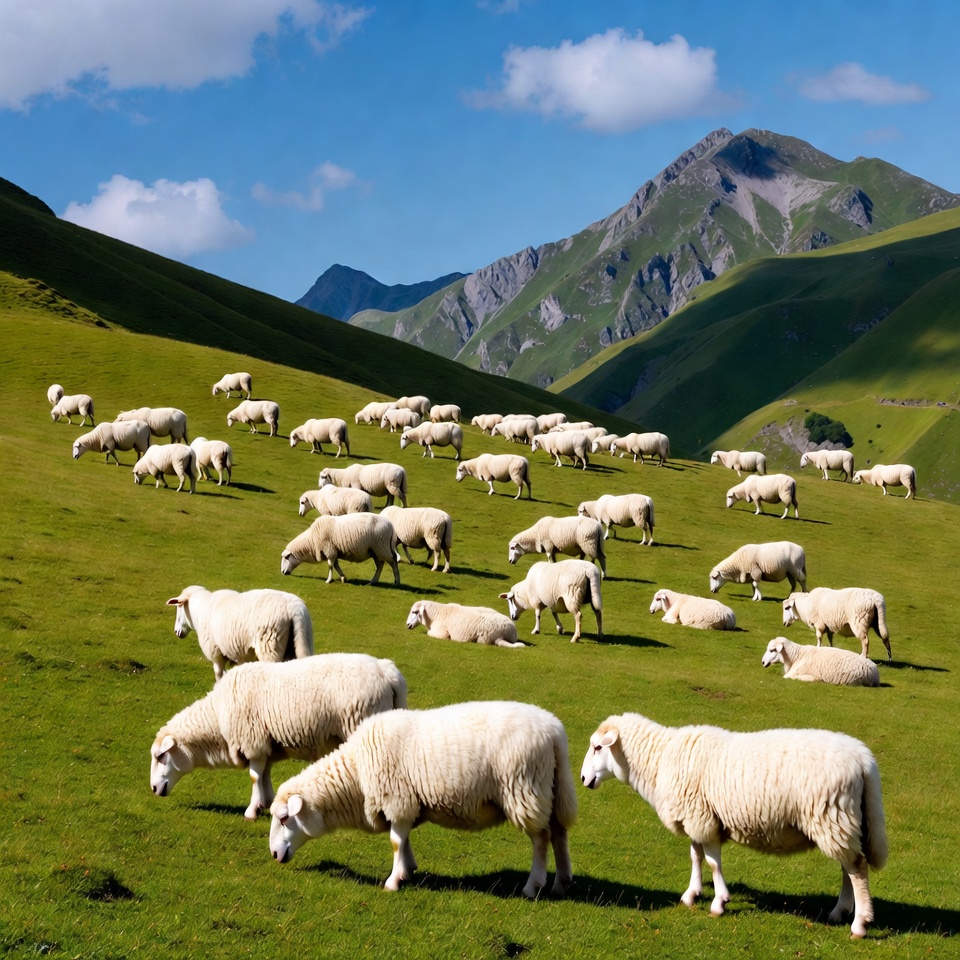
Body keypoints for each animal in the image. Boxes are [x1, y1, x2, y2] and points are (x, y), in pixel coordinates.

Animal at [150, 653, 407, 820]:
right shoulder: (266, 745)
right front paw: (265, 803)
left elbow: (254, 776)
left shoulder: (252, 741)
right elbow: (264, 775)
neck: (217, 717)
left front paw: (251, 811)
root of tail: (388, 672)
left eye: (161, 756)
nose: (153, 789)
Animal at [166, 584, 313, 682]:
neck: (199, 611)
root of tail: (294, 609)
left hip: (270, 646)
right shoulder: (239, 654)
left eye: (178, 606)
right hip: (302, 640)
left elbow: (219, 674)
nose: (176, 631)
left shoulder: (215, 652)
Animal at [268, 700, 576, 899]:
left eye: (284, 818)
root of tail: (554, 731)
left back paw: (532, 886)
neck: (356, 774)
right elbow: (402, 840)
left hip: (524, 790)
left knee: (541, 839)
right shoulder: (406, 803)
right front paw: (408, 870)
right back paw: (560, 884)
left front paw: (393, 881)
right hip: (550, 789)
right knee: (559, 834)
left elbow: (395, 841)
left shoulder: (397, 799)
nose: (274, 854)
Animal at [580, 713, 887, 937]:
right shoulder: (697, 816)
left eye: (598, 747)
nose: (583, 778)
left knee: (857, 868)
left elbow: (713, 862)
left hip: (832, 817)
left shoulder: (703, 819)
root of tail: (863, 759)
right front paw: (692, 894)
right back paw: (840, 912)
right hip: (841, 823)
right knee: (848, 869)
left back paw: (859, 924)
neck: (660, 759)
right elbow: (696, 856)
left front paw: (719, 902)